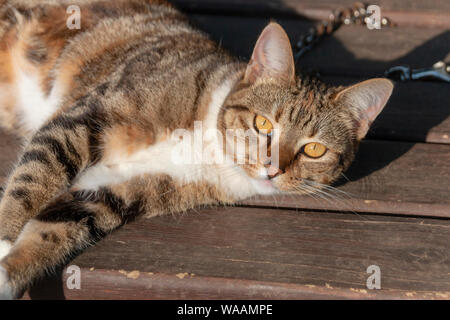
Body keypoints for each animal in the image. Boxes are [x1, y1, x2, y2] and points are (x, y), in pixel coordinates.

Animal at [0, 0, 392, 300]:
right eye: (263, 124)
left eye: (313, 149)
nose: (273, 169)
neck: (207, 147)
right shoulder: (90, 116)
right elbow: (37, 175)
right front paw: (4, 238)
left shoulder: (115, 190)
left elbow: (56, 227)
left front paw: (9, 270)